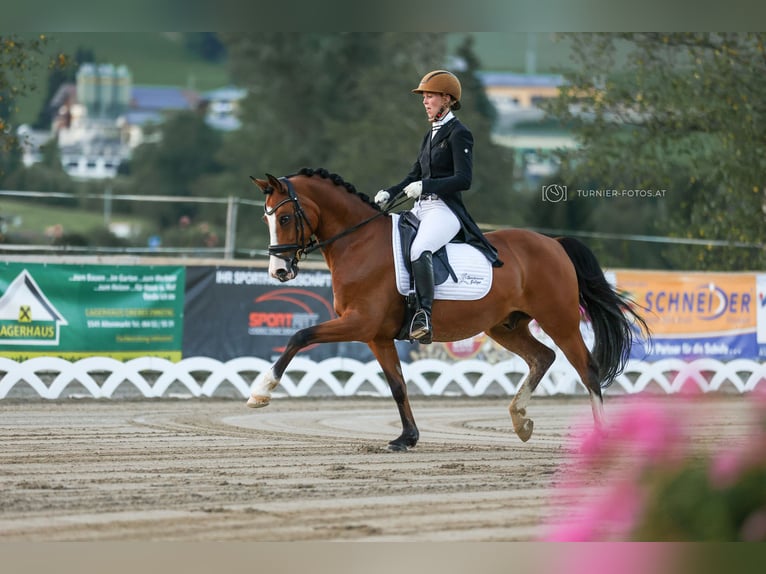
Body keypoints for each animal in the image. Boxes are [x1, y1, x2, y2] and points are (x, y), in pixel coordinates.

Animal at [244, 169, 648, 452]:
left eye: (284, 218)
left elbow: (300, 336)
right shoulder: (377, 336)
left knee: (587, 370)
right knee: (542, 357)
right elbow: (397, 385)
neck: (358, 243)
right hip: (505, 326)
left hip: (559, 320)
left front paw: (261, 391)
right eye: (265, 219)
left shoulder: (359, 323)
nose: (279, 272)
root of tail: (553, 243)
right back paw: (520, 421)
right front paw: (407, 438)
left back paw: (600, 437)